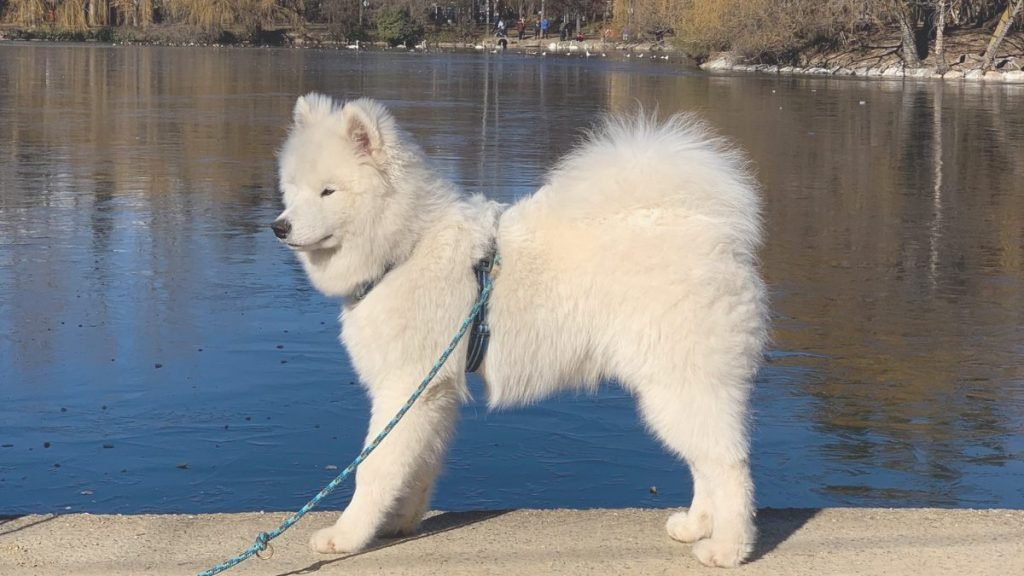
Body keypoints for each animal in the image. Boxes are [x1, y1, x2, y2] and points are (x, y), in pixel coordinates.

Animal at [272, 94, 770, 565]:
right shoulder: (434, 391)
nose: (280, 226)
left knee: (729, 466)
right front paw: (400, 519)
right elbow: (419, 462)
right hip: (676, 388)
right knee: (705, 462)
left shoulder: (407, 384)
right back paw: (695, 526)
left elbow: (374, 466)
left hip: (678, 383)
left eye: (328, 191)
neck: (407, 246)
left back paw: (727, 548)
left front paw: (347, 536)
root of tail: (712, 233)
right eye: (291, 189)